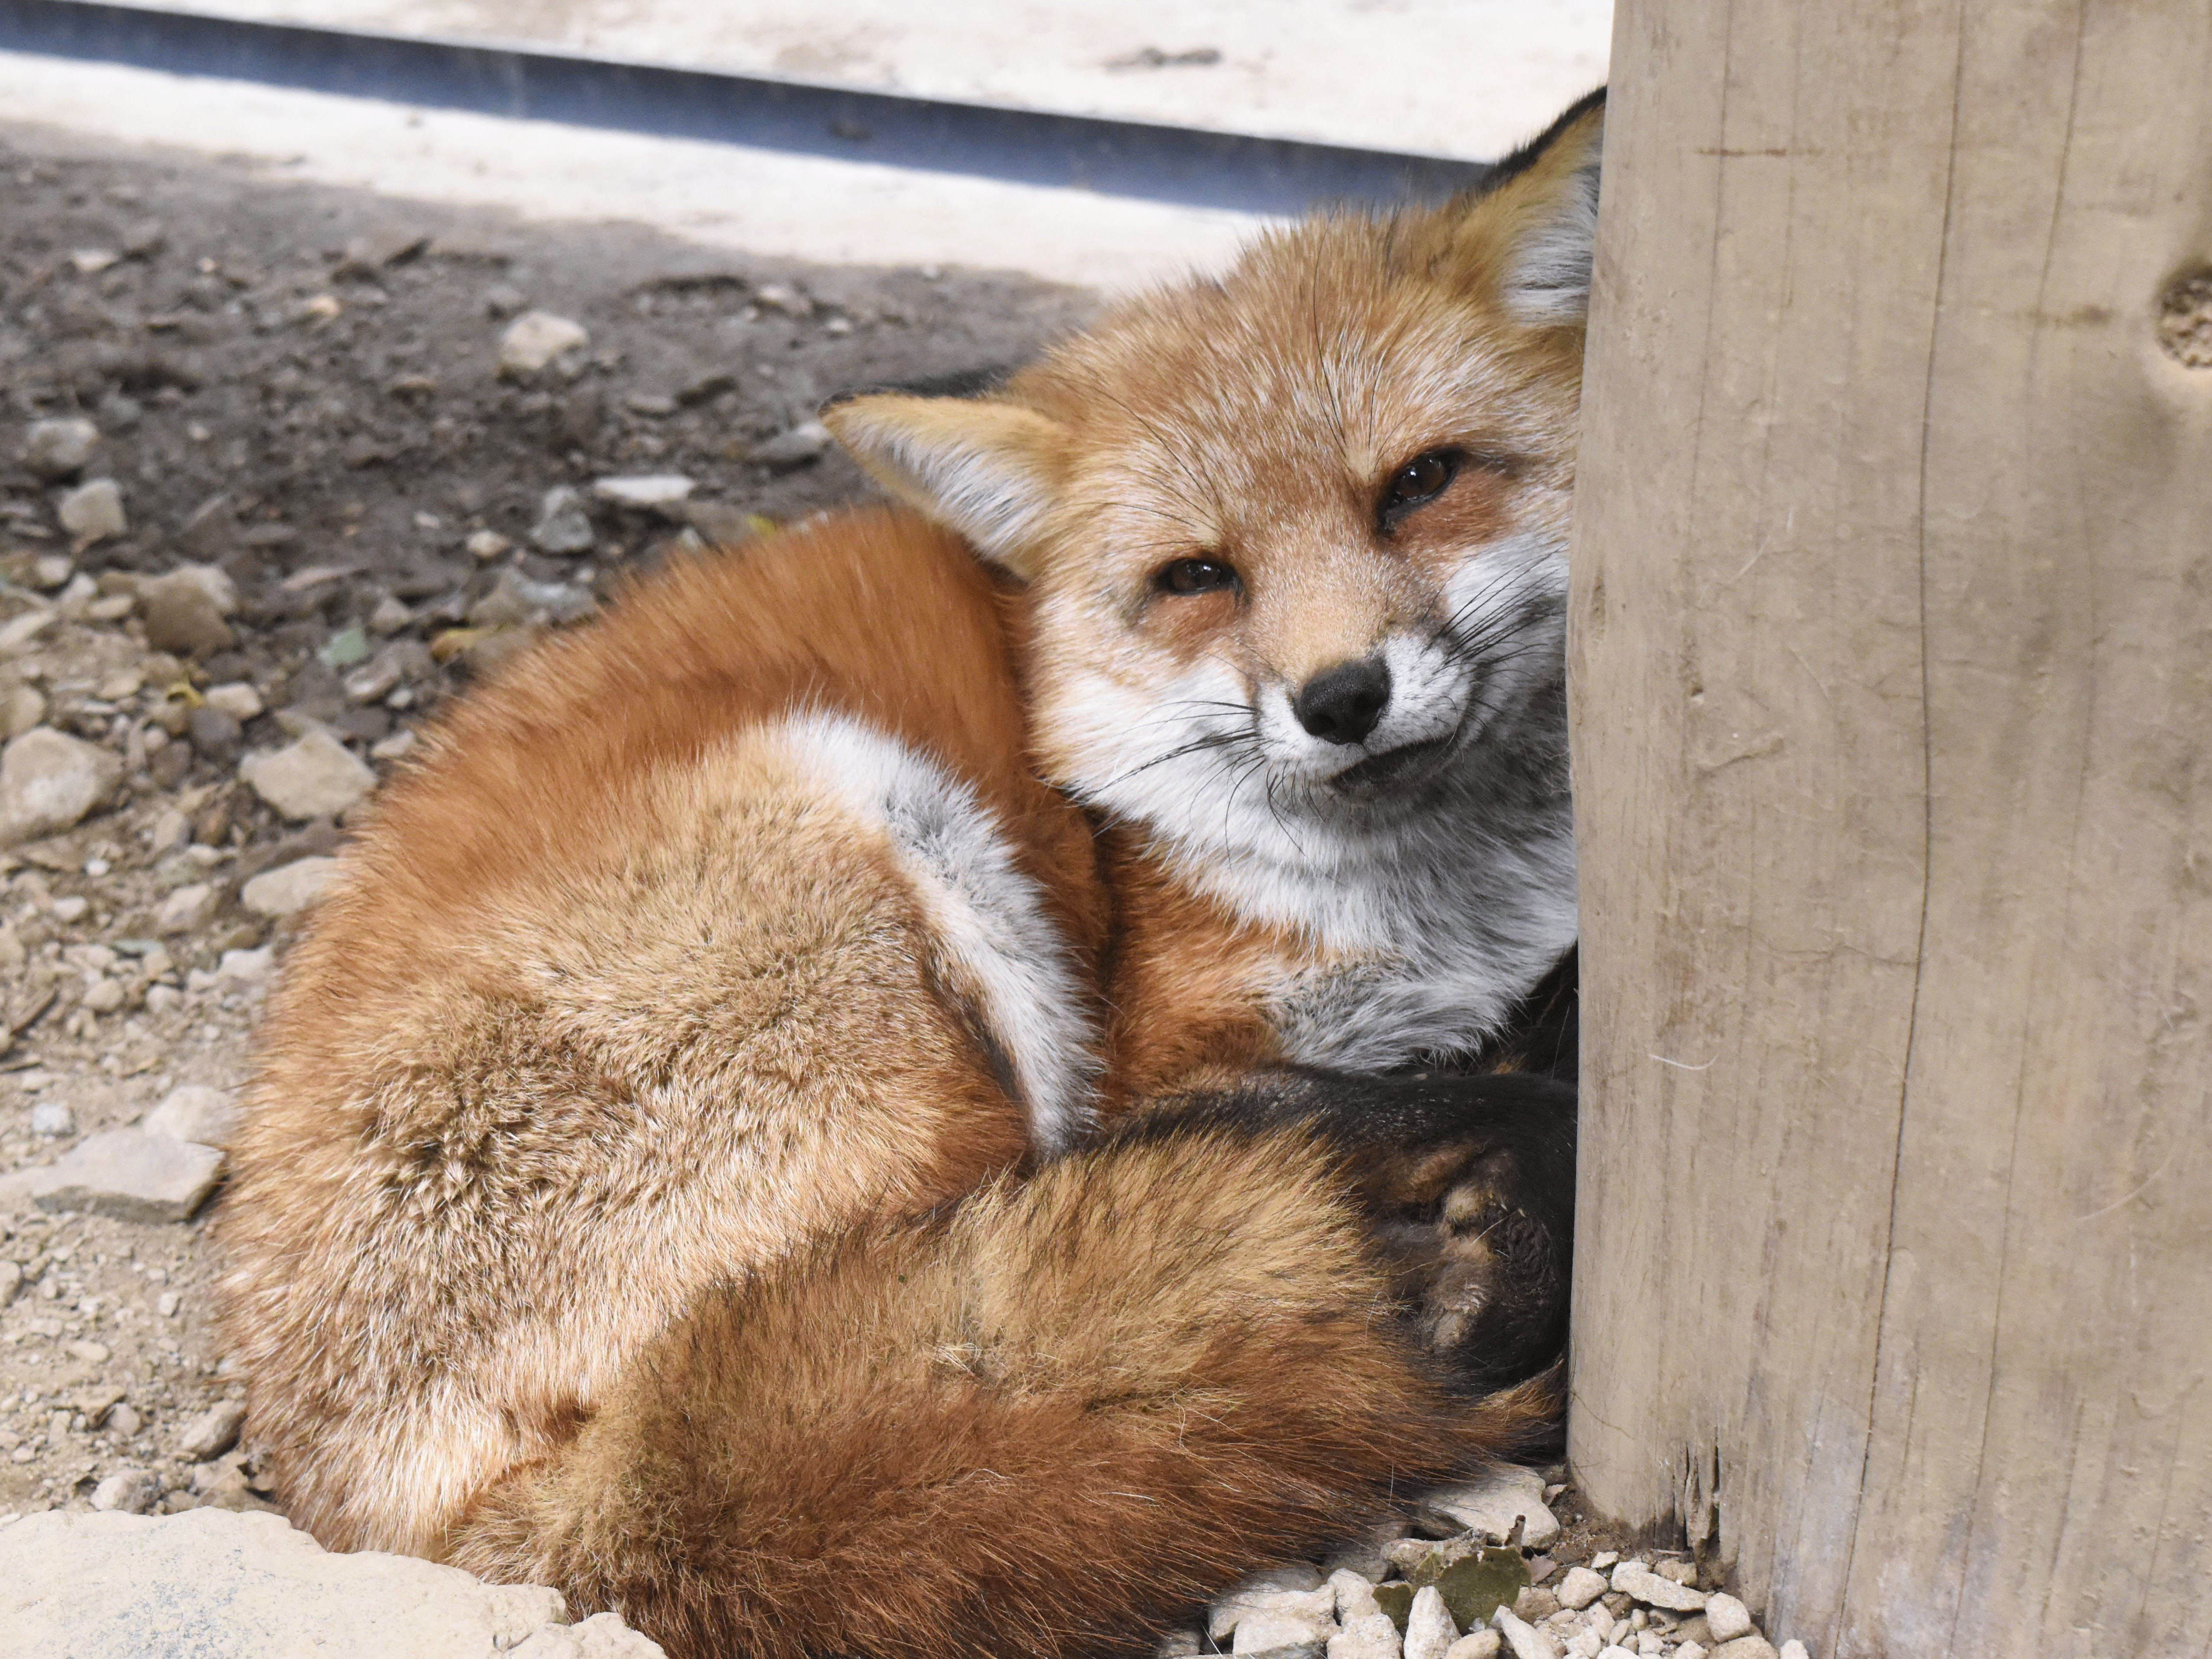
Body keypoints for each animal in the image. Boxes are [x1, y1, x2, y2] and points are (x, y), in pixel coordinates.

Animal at [220, 88, 1610, 1659]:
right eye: (1197, 577)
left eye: (1420, 485)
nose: (1342, 697)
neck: (1452, 897)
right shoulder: (1169, 1051)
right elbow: (1351, 1091)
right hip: (891, 858)